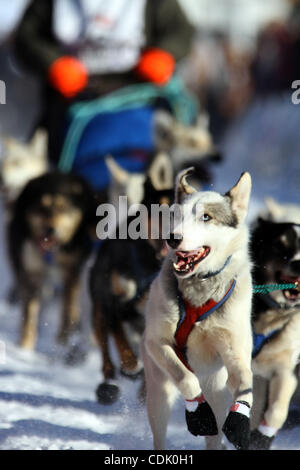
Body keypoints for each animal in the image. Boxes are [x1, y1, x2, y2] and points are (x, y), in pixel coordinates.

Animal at [142, 167, 253, 450]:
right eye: (177, 215)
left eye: (206, 217)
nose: (173, 238)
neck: (200, 291)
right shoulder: (157, 343)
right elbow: (186, 377)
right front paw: (198, 414)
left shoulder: (234, 352)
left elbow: (246, 381)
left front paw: (240, 418)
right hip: (158, 394)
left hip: (218, 395)